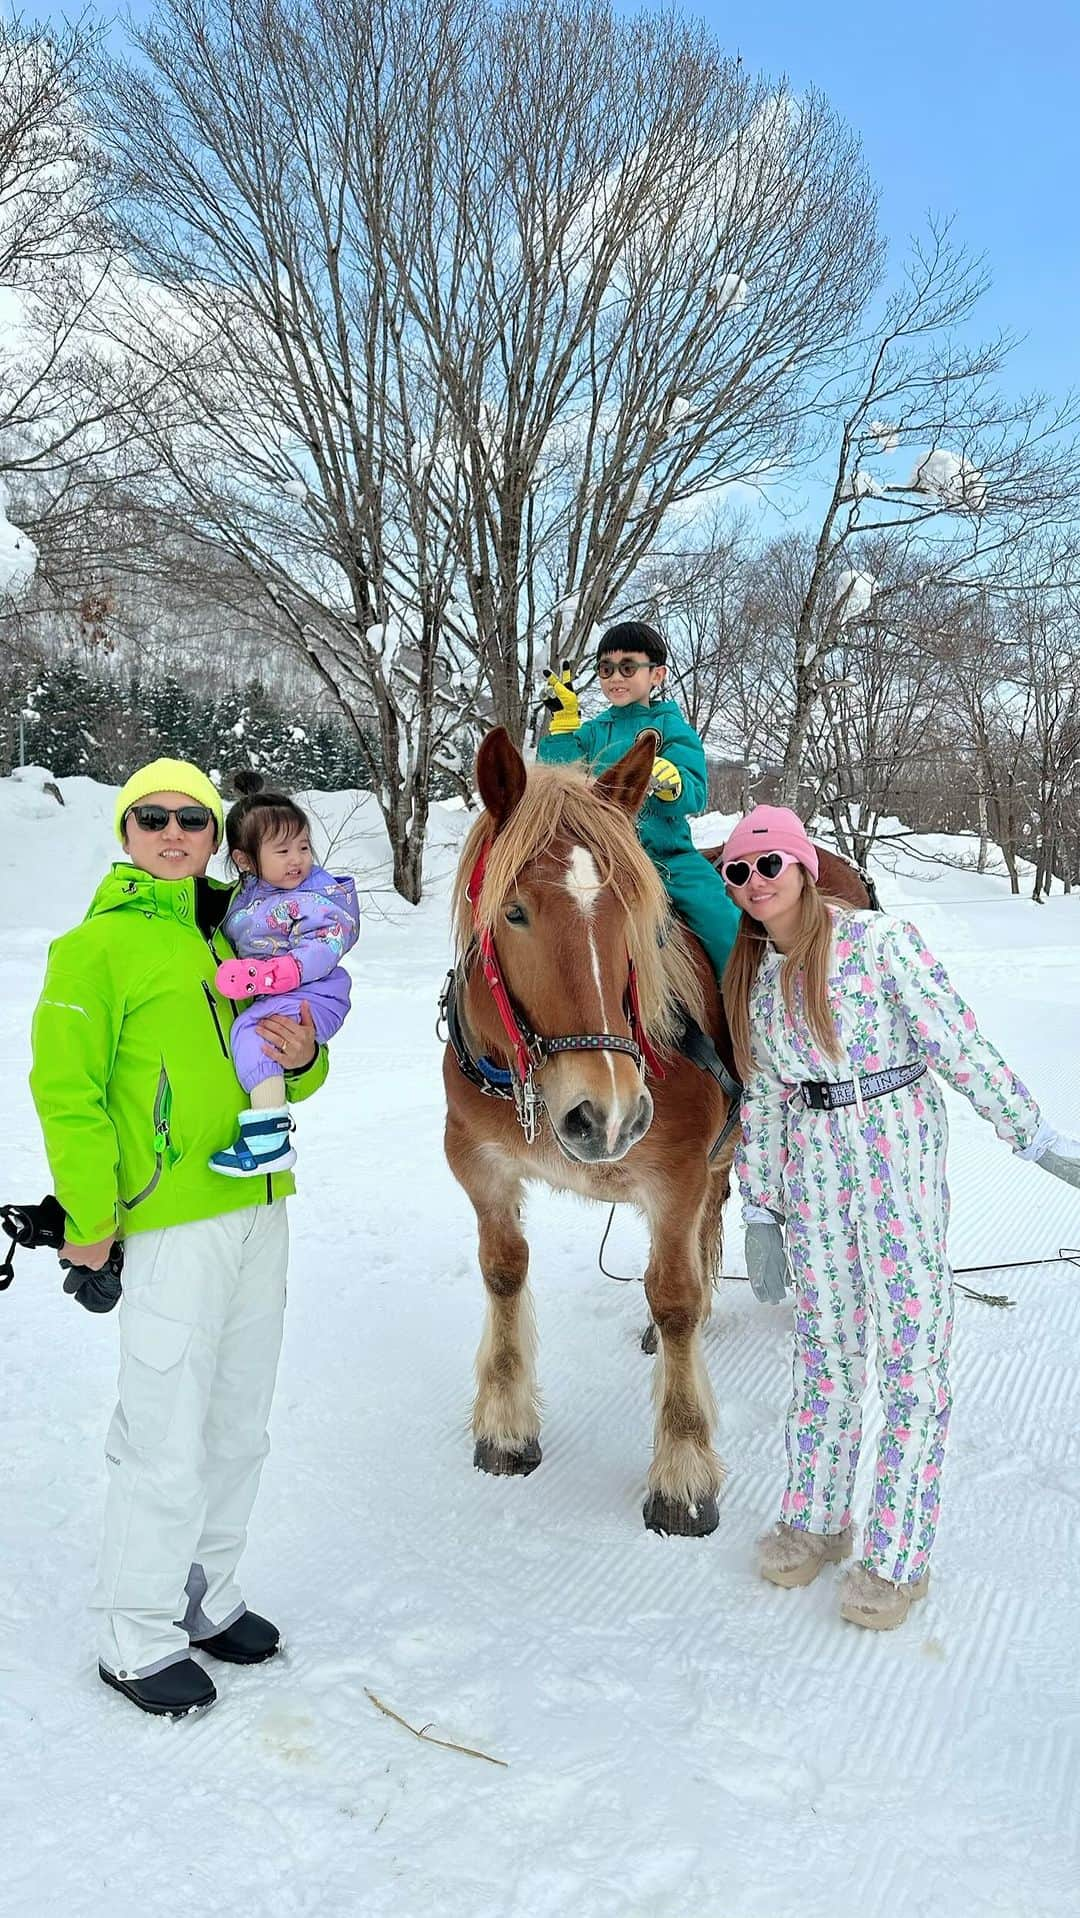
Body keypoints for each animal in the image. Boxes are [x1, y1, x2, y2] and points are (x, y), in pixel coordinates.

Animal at [443, 725, 874, 1534]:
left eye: (638, 913)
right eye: (514, 912)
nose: (605, 1110)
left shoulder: (673, 1172)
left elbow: (672, 1298)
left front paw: (681, 1469)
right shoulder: (481, 1167)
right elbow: (504, 1273)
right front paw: (507, 1425)